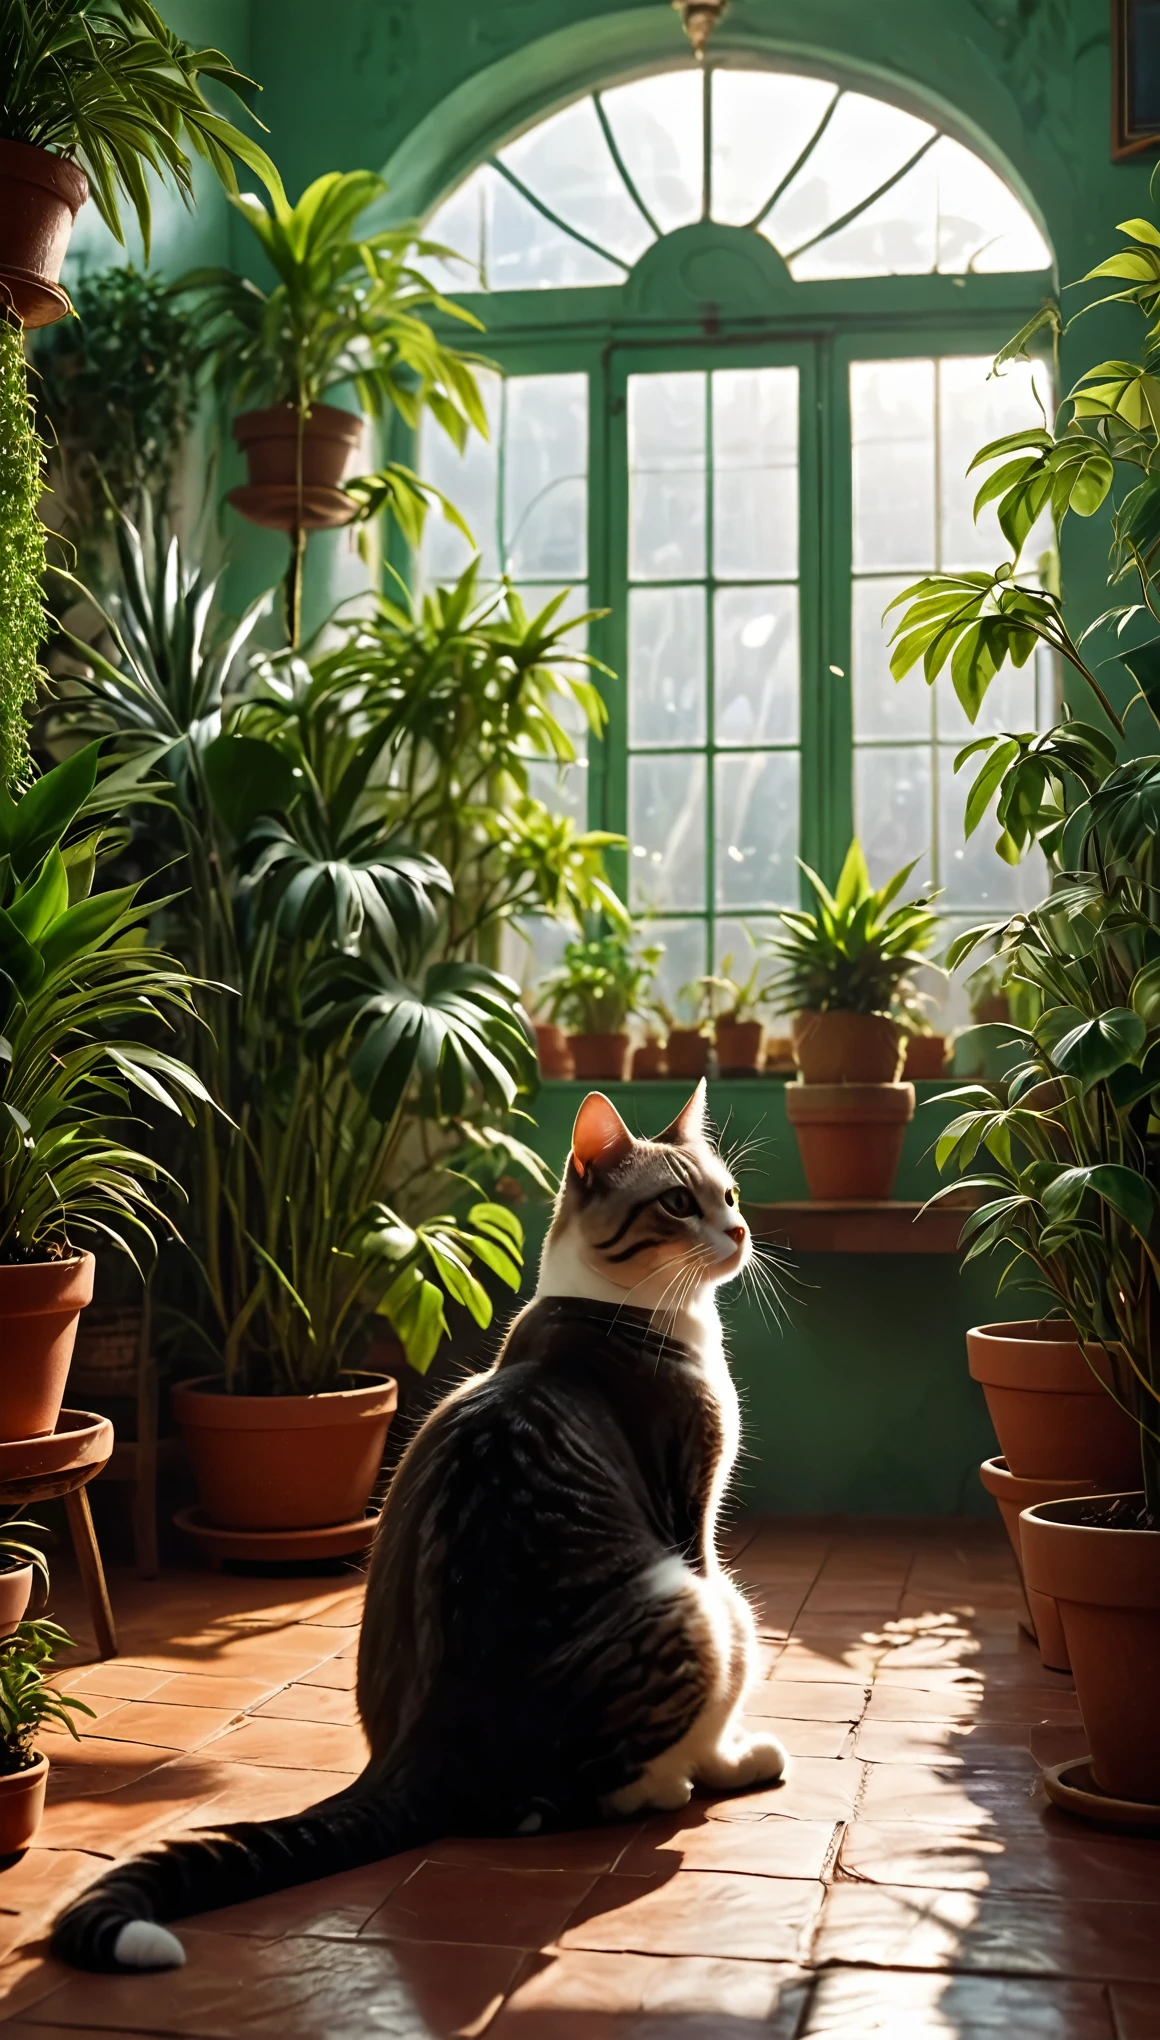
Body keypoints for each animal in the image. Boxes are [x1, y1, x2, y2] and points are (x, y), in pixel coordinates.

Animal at [49, 1085, 782, 1974]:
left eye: (730, 1195)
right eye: (679, 1203)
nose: (739, 1230)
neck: (620, 1309)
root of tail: (415, 1755)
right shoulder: (691, 1516)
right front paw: (733, 1755)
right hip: (683, 1600)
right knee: (608, 1771)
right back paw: (685, 1778)